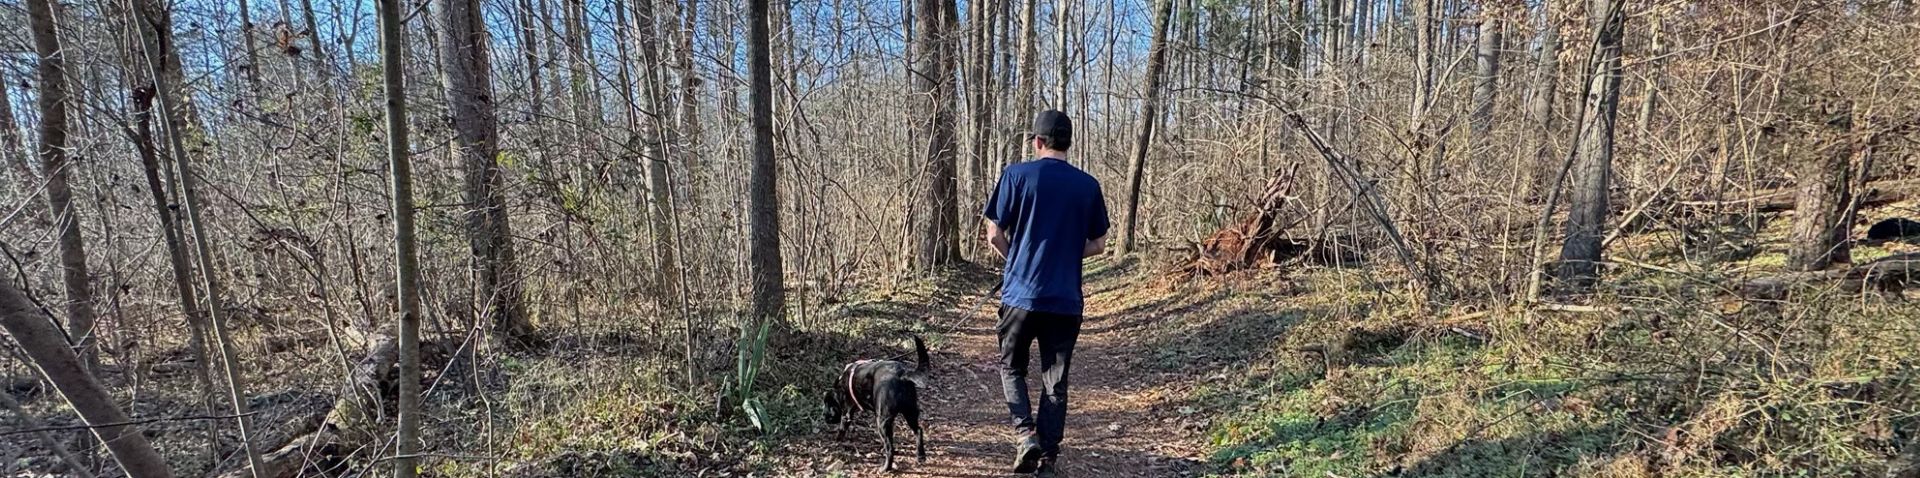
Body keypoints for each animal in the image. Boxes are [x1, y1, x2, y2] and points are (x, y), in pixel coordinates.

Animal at [821, 337, 925, 472]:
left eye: (827, 404)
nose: (824, 416)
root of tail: (902, 375)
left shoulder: (846, 412)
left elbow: (841, 429)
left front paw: (836, 441)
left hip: (882, 421)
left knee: (890, 448)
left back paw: (885, 468)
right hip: (910, 412)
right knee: (918, 431)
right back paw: (920, 456)